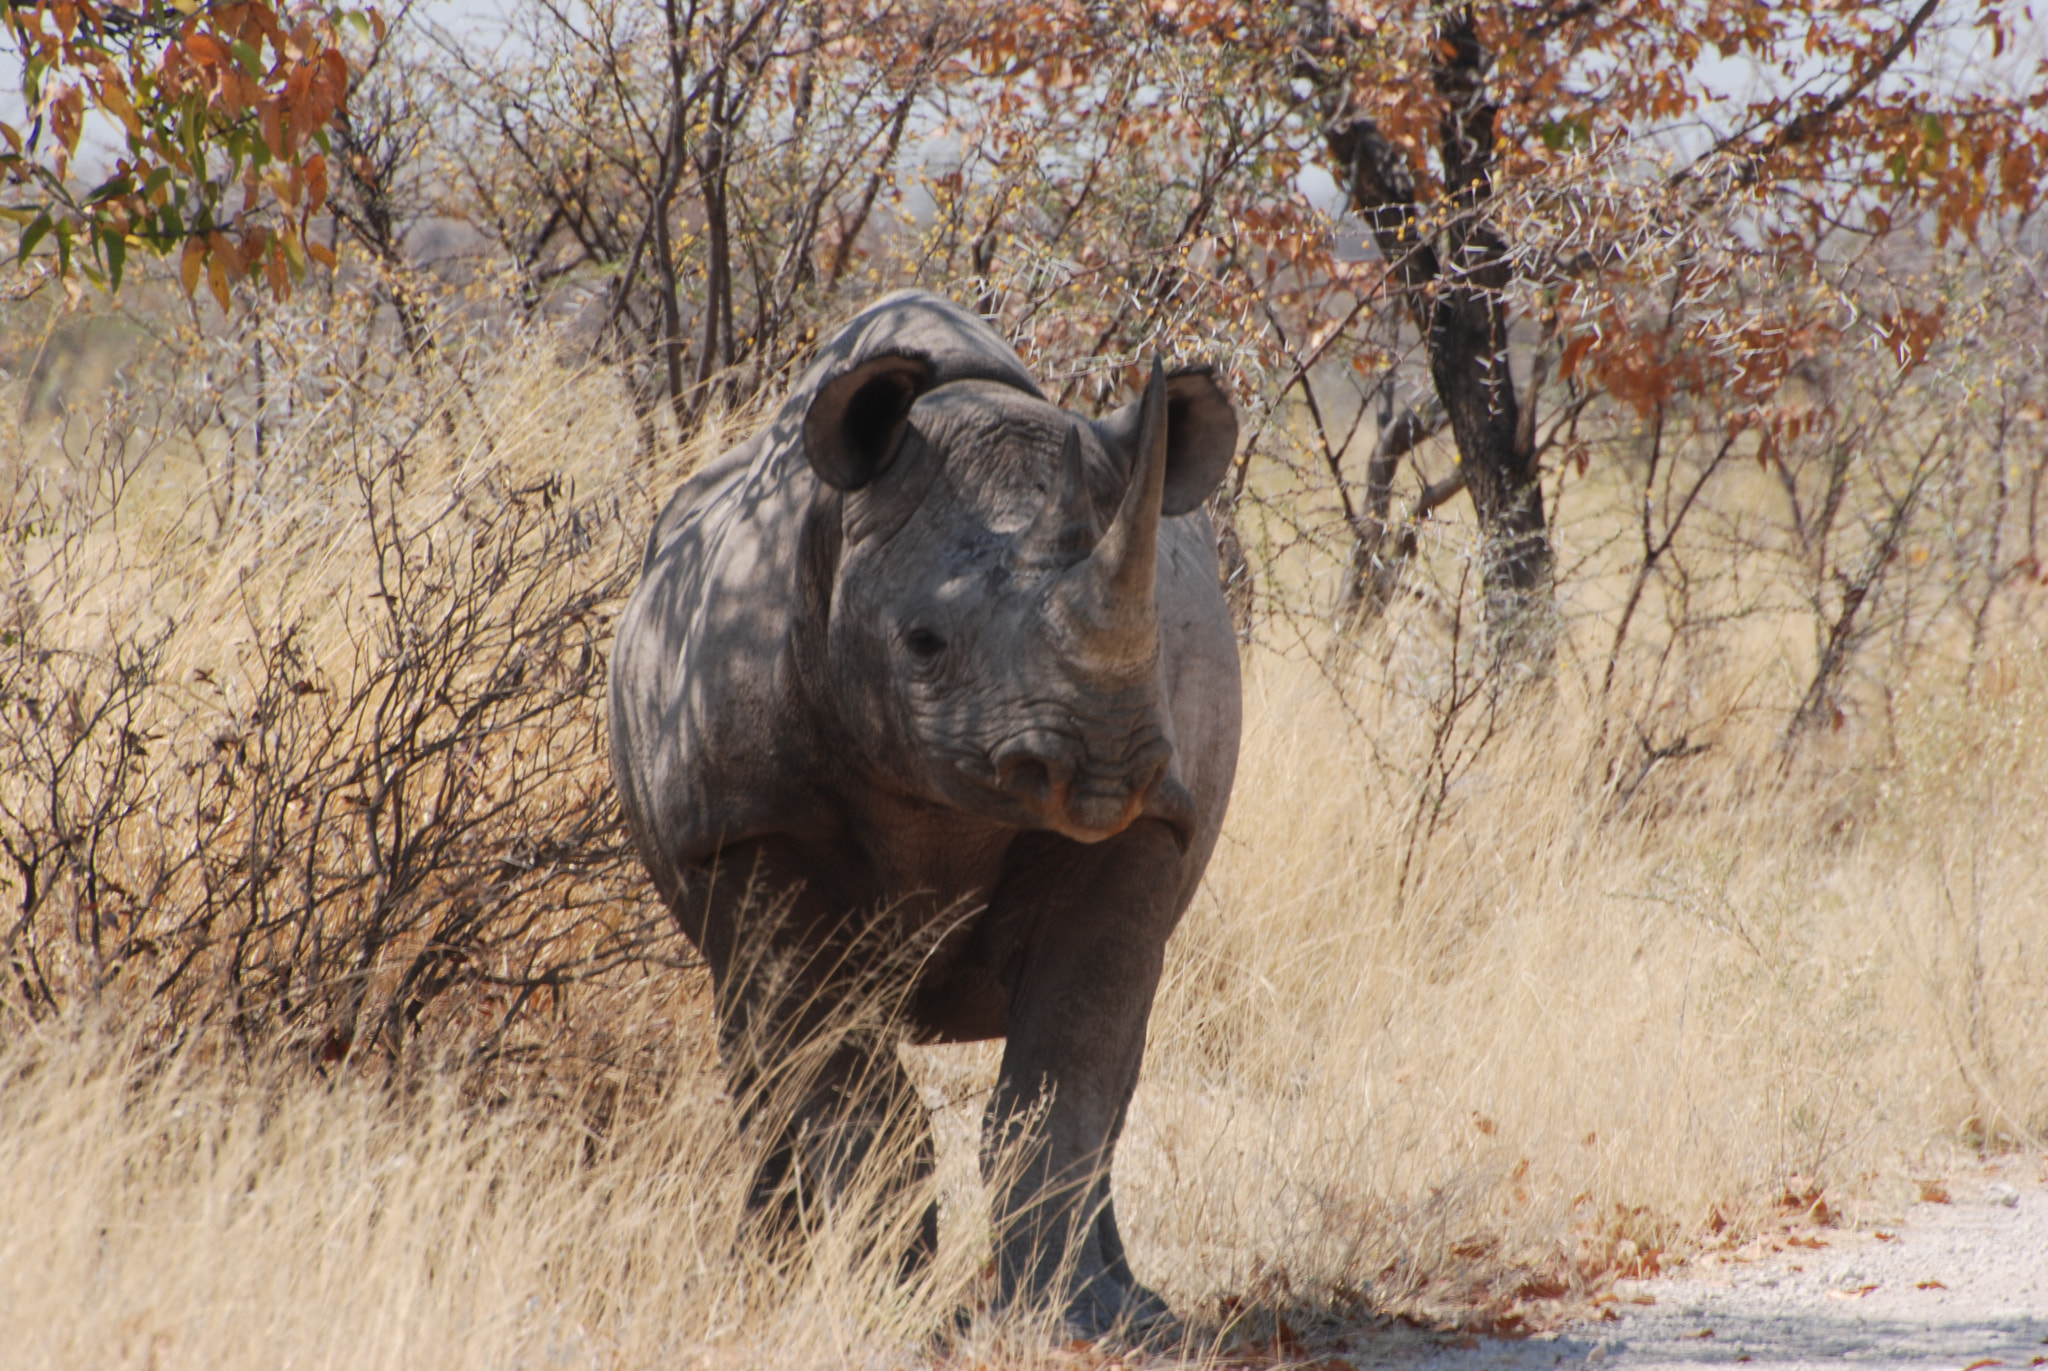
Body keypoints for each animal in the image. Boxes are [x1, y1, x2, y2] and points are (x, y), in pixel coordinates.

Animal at [608, 290, 1242, 1338]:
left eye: (1155, 638)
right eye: (922, 643)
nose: (1105, 760)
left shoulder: (1153, 823)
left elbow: (1065, 1074)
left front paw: (1071, 1316)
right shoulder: (748, 826)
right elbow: (845, 1082)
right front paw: (889, 1305)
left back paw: (1136, 1305)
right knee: (757, 1051)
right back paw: (754, 1287)